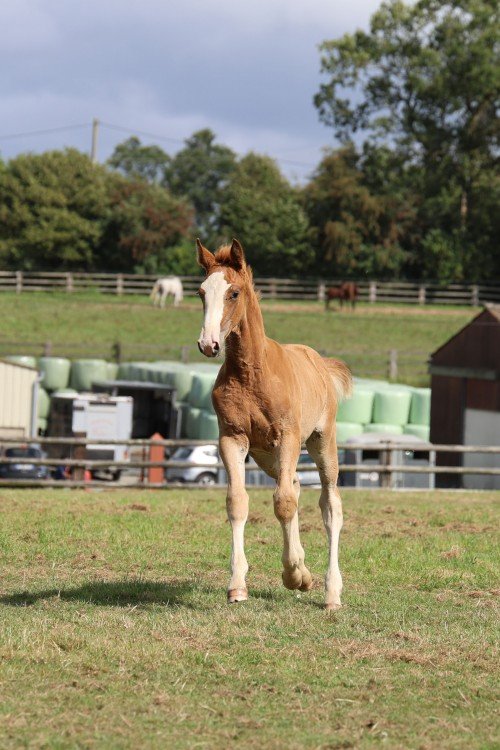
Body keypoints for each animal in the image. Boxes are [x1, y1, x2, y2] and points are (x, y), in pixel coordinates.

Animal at [196, 238, 352, 610]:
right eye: (201, 292)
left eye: (234, 292)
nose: (208, 344)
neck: (253, 373)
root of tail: (320, 363)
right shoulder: (232, 438)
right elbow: (238, 502)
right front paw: (238, 586)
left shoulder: (289, 437)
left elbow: (283, 503)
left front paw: (294, 575)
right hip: (267, 456)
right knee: (293, 485)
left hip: (321, 443)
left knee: (329, 505)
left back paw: (330, 592)